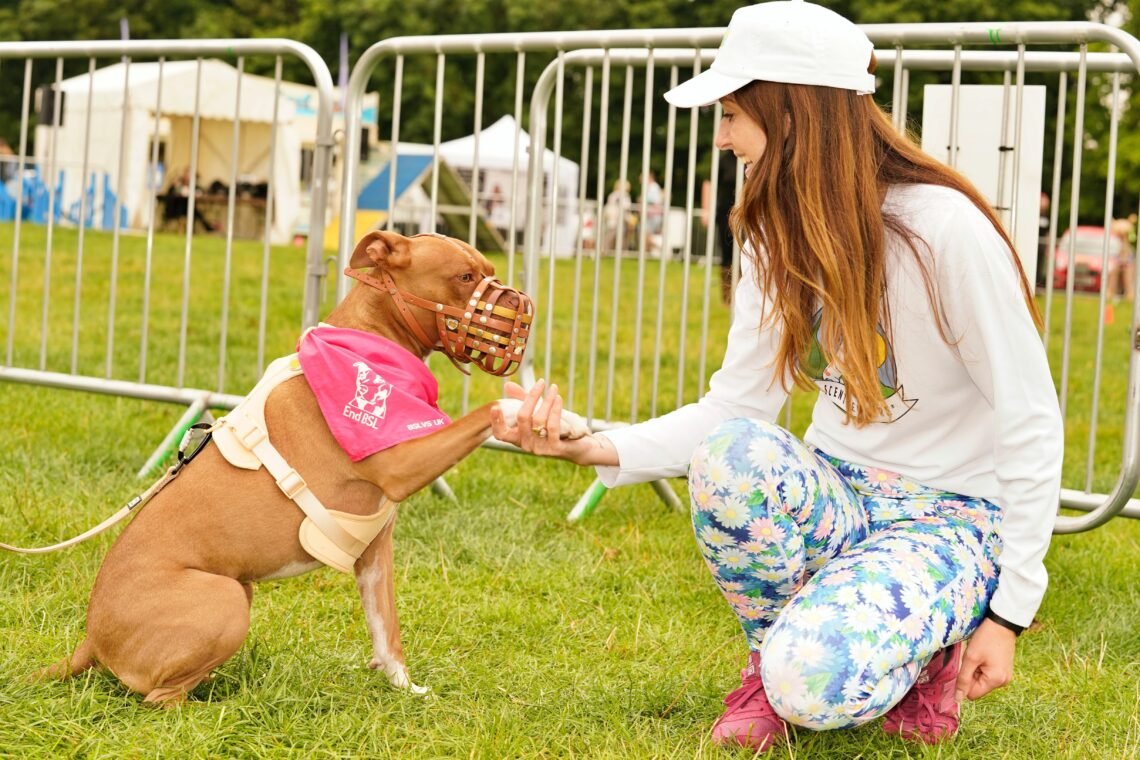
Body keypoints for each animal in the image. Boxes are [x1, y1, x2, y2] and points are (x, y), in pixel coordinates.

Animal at [33, 229, 588, 706]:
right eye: (466, 277)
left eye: (489, 271)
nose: (521, 305)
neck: (370, 340)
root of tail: (89, 638)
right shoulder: (403, 460)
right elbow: (485, 412)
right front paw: (531, 415)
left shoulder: (375, 555)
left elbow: (387, 634)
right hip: (226, 598)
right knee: (159, 698)